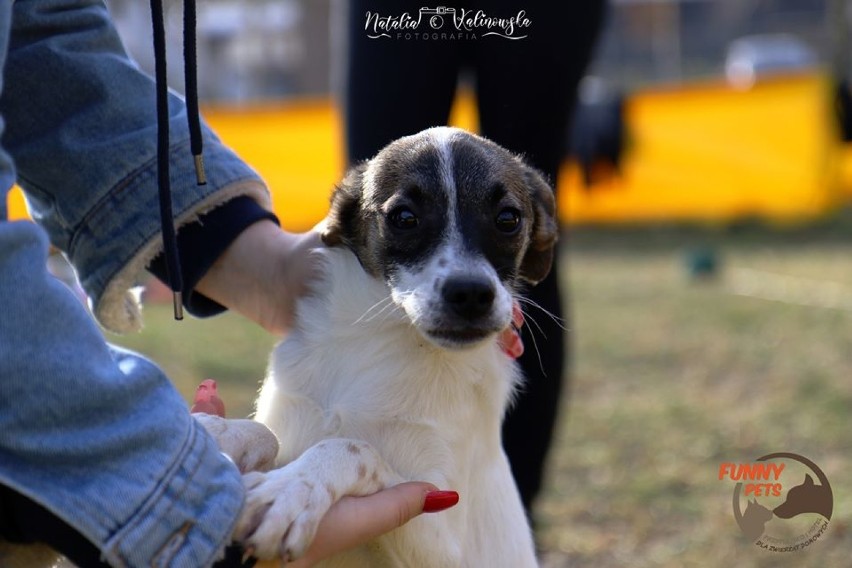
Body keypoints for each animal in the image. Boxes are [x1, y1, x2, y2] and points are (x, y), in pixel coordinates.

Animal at [240, 126, 560, 564]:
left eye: (508, 219)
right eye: (404, 218)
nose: (471, 294)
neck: (388, 340)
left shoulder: (442, 531)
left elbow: (353, 447)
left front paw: (293, 490)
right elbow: (259, 432)